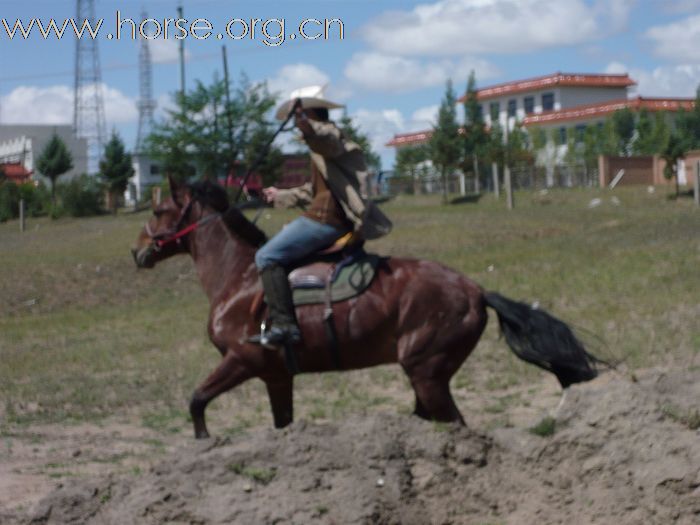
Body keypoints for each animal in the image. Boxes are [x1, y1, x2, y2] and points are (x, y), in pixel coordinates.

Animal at [134, 180, 604, 438]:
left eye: (158, 209)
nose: (136, 251)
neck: (242, 276)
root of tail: (475, 289)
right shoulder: (276, 376)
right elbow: (281, 423)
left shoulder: (242, 360)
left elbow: (197, 400)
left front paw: (203, 441)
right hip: (427, 376)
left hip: (426, 372)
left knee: (454, 423)